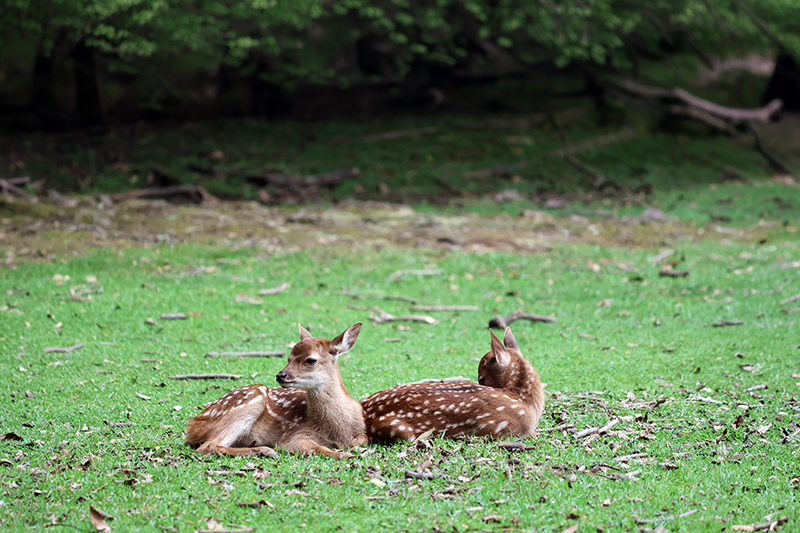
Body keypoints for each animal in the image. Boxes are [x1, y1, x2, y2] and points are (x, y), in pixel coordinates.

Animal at [185, 322, 367, 458]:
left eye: (310, 360)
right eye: (289, 358)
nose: (280, 375)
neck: (337, 431)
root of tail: (192, 424)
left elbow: (363, 439)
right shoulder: (293, 435)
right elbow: (318, 448)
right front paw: (345, 454)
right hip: (251, 401)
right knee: (208, 446)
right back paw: (265, 450)